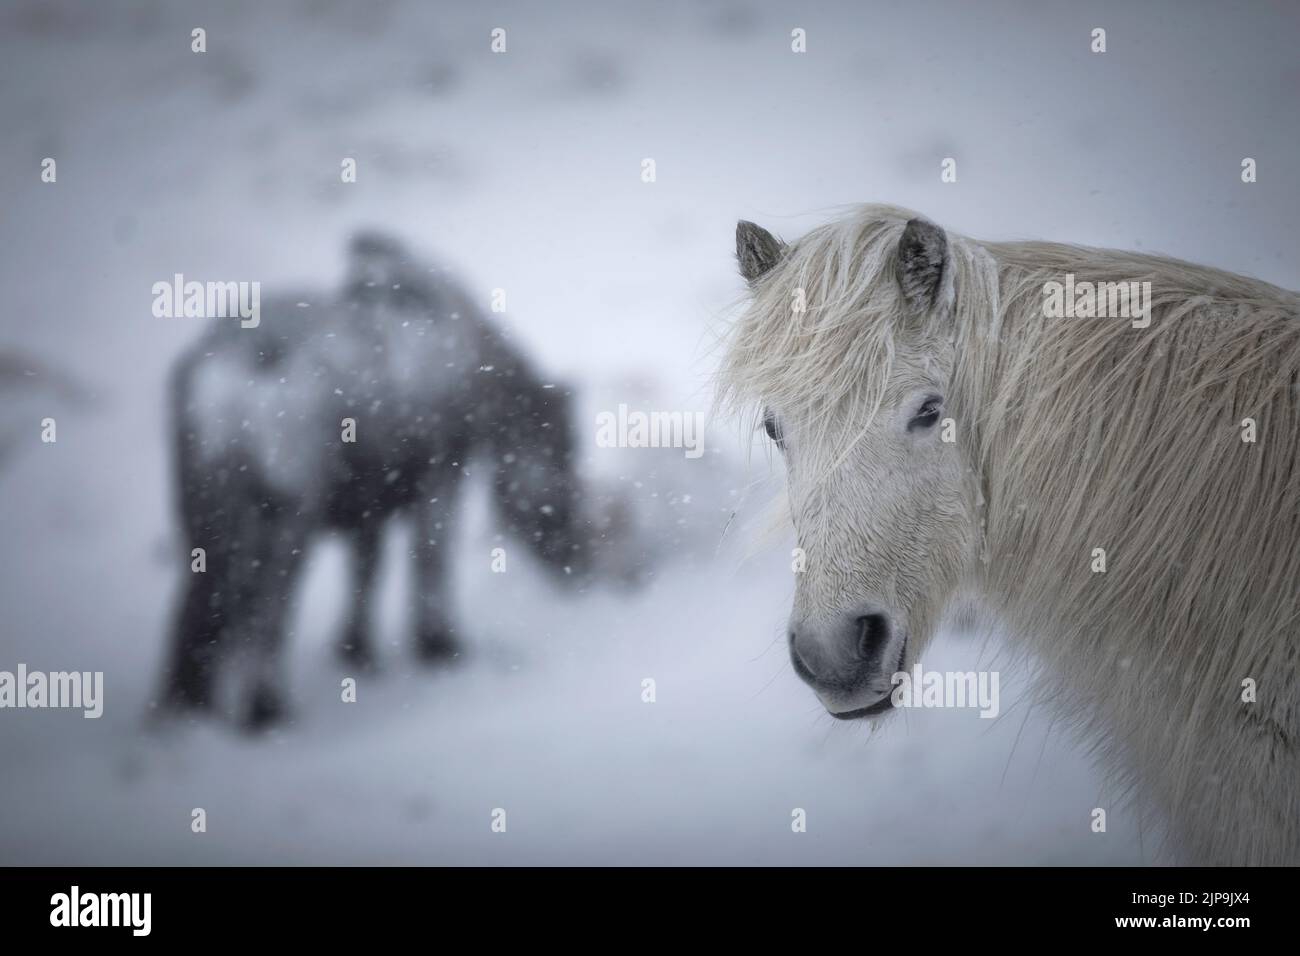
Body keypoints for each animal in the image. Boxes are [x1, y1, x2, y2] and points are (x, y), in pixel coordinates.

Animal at [159, 235, 637, 728]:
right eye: (565, 452)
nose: (578, 561)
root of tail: (222, 386)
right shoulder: (440, 475)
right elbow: (428, 558)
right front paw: (439, 645)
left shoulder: (370, 499)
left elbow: (368, 569)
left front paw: (358, 650)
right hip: (286, 513)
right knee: (265, 611)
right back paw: (266, 709)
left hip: (201, 512)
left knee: (196, 610)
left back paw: (189, 705)